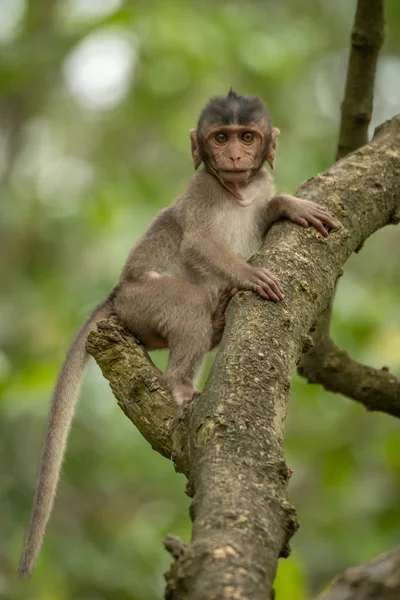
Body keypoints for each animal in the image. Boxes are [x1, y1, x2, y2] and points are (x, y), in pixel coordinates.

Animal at [17, 89, 340, 576]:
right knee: (188, 305)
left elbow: (267, 208)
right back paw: (180, 385)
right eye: (220, 137)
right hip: (143, 300)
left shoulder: (258, 184)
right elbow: (198, 243)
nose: (235, 156)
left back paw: (220, 320)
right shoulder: (202, 191)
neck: (237, 192)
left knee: (204, 322)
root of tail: (116, 293)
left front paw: (289, 205)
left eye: (248, 136)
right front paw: (250, 274)